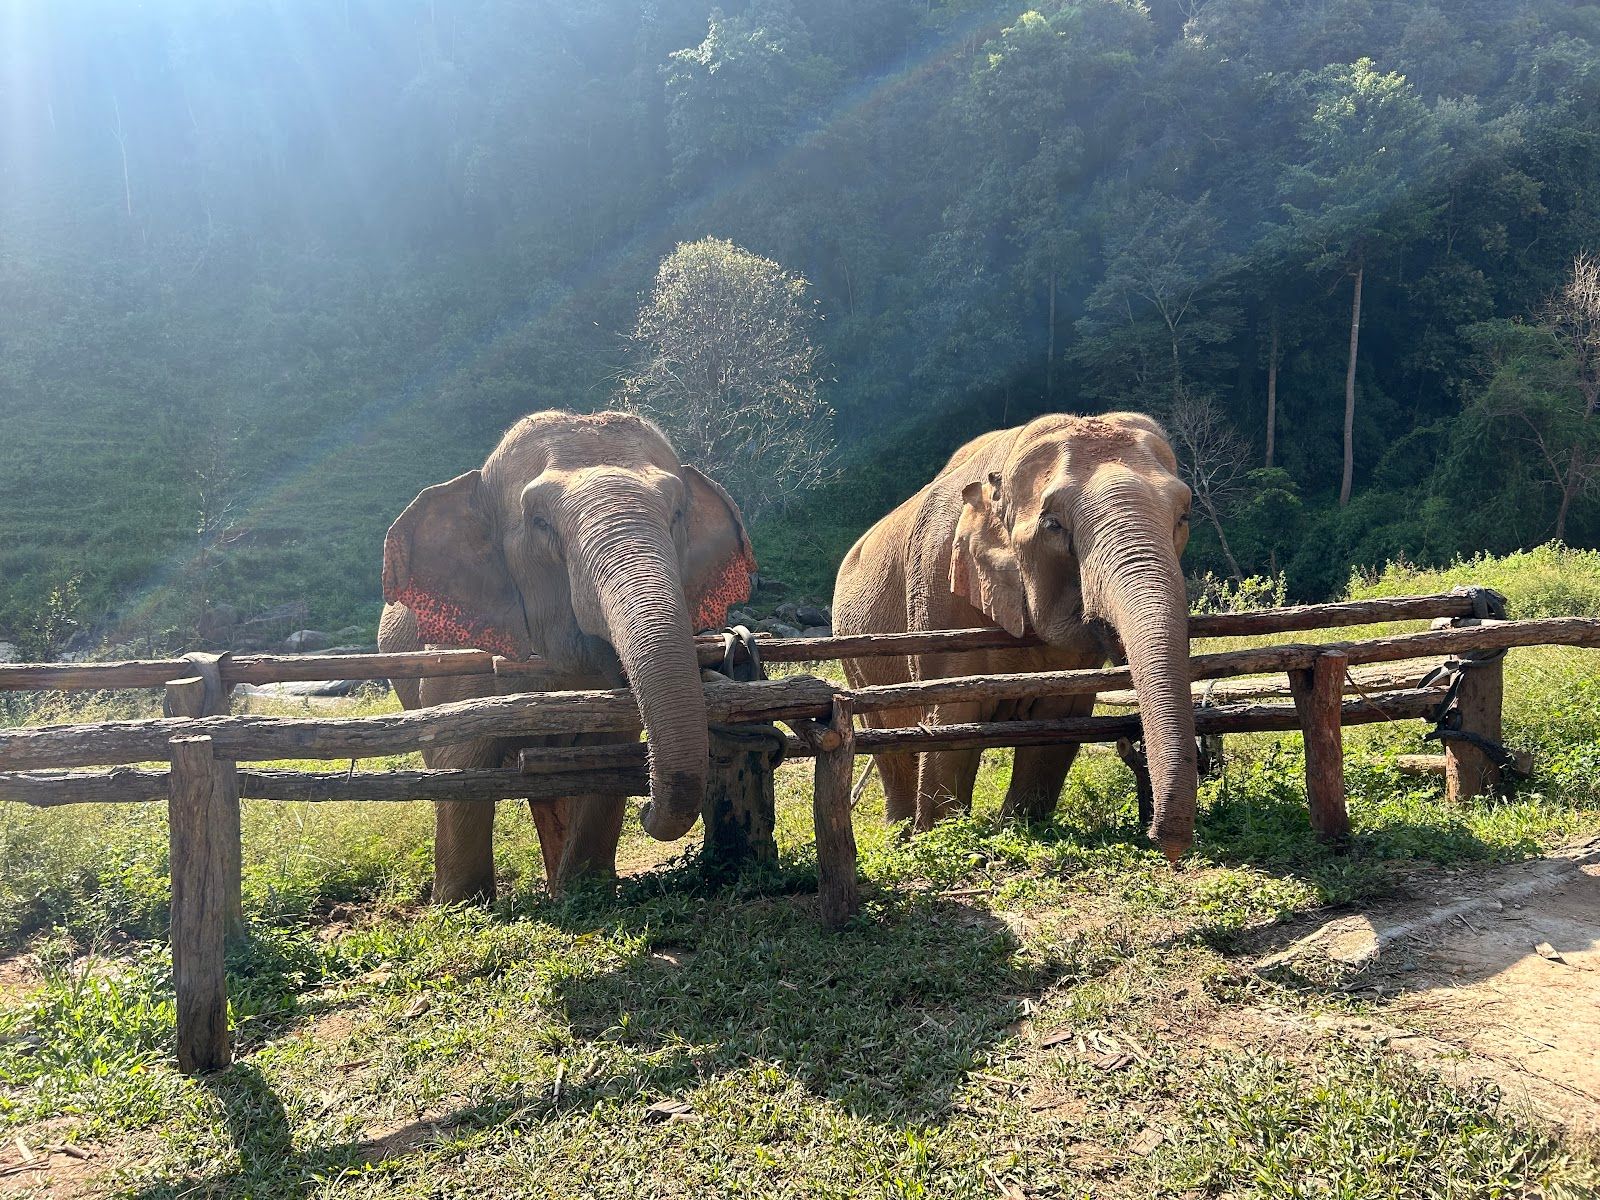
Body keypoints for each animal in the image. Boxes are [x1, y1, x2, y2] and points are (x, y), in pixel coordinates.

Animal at [378, 410, 755, 903]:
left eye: (676, 514)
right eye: (540, 522)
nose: (647, 810)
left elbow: (611, 757)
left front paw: (586, 891)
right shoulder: (458, 659)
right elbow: (460, 764)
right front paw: (461, 905)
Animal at [832, 411, 1198, 862]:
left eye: (1182, 517)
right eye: (1053, 524)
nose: (1166, 844)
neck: (1001, 473)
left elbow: (1059, 720)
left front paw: (1018, 827)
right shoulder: (937, 589)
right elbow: (953, 716)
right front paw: (940, 835)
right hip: (852, 654)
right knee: (887, 737)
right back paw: (900, 836)